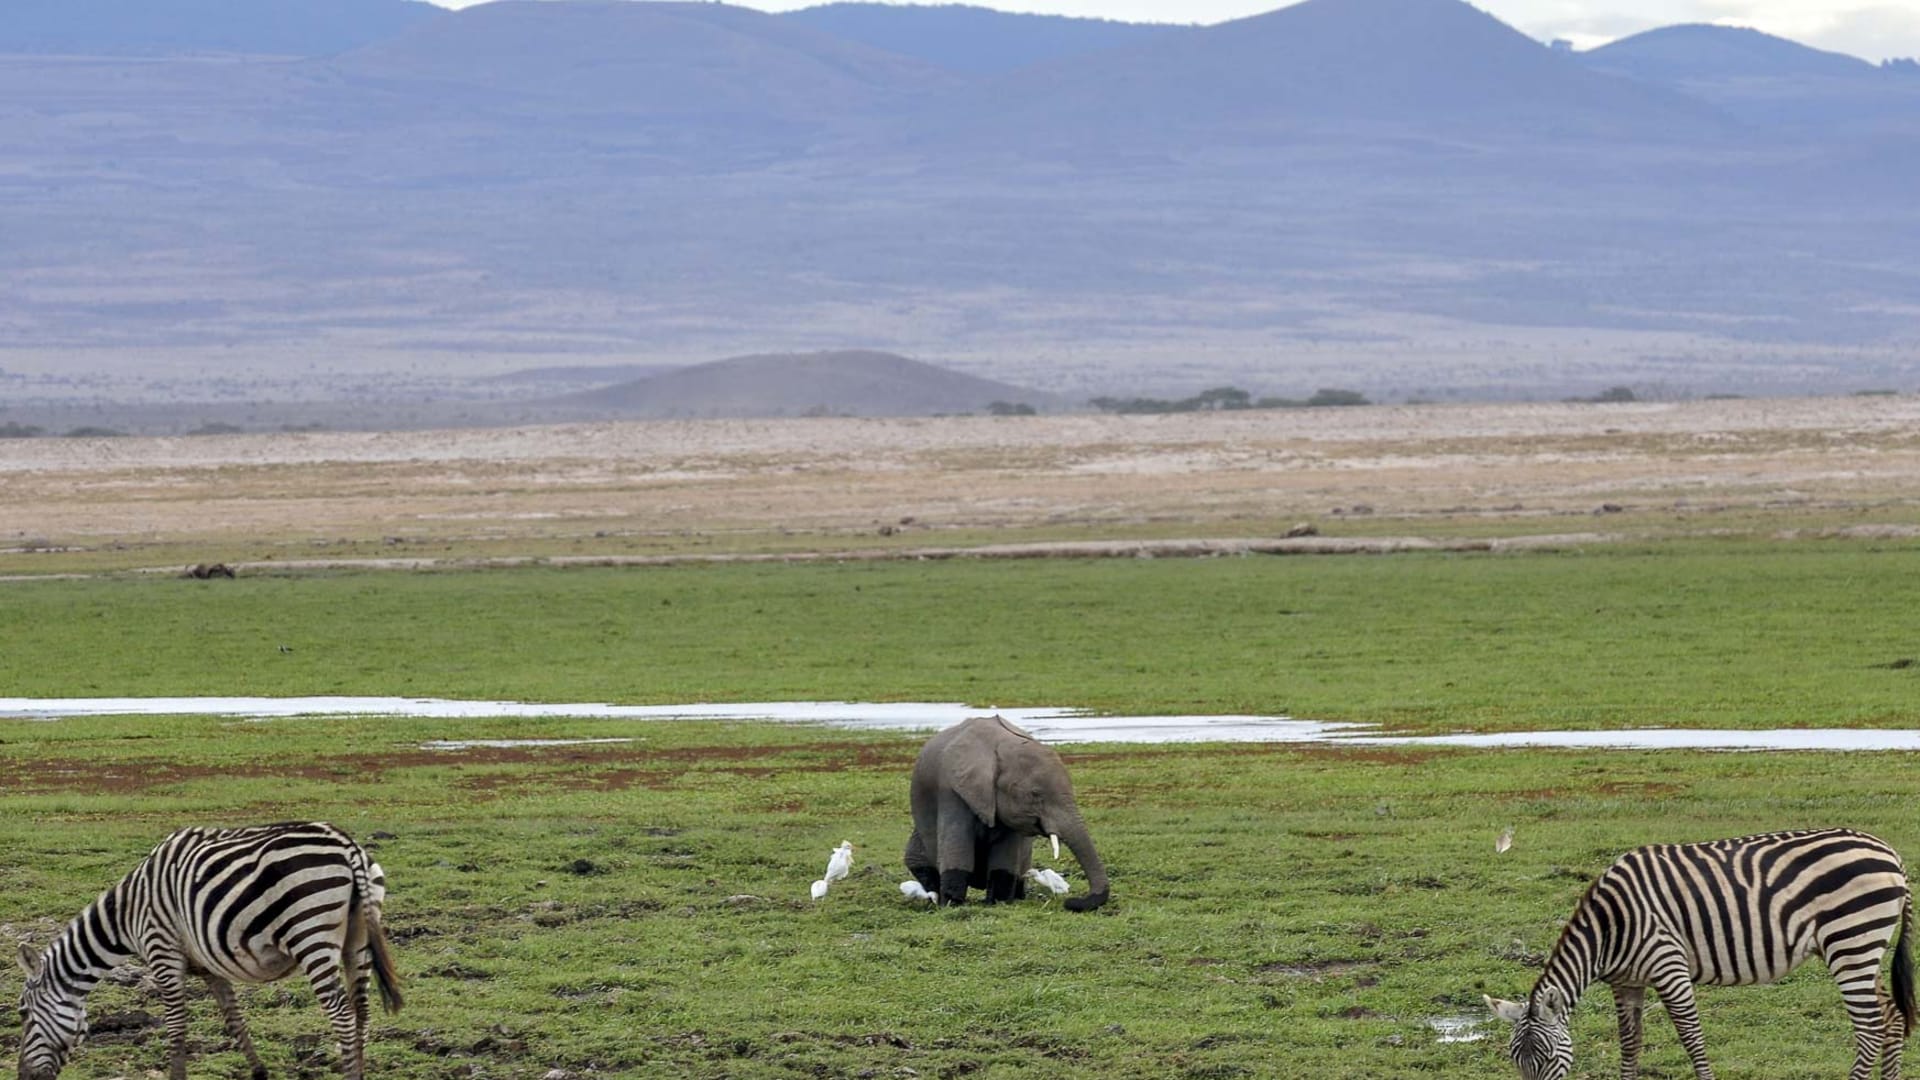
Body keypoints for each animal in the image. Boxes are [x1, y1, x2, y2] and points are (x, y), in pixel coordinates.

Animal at [14, 821, 403, 1080]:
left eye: (22, 1014)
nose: (23, 1078)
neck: (128, 913)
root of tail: (347, 845)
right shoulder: (209, 965)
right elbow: (233, 1019)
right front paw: (259, 1072)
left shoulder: (162, 951)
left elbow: (175, 1025)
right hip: (358, 938)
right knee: (362, 1011)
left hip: (311, 934)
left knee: (342, 1013)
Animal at [903, 715, 1110, 911]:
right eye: (1035, 794)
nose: (1071, 902)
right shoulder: (951, 791)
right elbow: (958, 849)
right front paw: (952, 905)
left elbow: (1005, 858)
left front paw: (997, 903)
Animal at [1485, 828, 1915, 1080]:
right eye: (1516, 1061)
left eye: (1545, 1059)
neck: (1609, 926)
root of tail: (1890, 853)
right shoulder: (1626, 983)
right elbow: (1630, 1043)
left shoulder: (1668, 965)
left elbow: (1691, 1038)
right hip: (1862, 948)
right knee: (1892, 1018)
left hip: (1850, 942)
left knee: (1870, 1028)